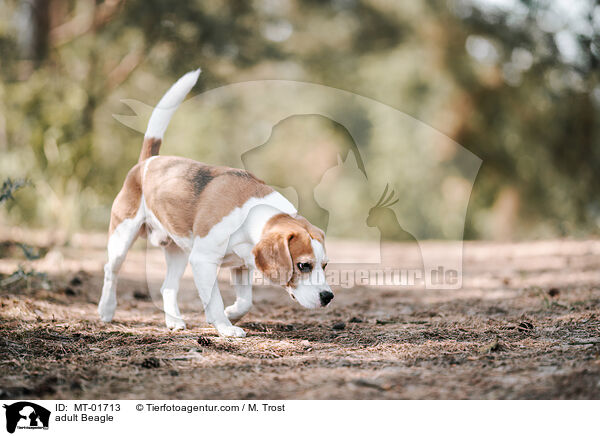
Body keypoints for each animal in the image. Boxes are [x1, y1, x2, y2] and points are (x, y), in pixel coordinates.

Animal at [96, 70, 336, 338]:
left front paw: (232, 313)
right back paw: (106, 309)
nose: (328, 296)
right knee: (111, 271)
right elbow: (214, 298)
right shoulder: (204, 261)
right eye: (303, 265)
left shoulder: (243, 265)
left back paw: (174, 321)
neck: (249, 215)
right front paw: (225, 326)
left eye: (325, 265)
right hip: (122, 237)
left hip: (178, 252)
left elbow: (246, 301)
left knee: (167, 287)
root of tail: (148, 161)